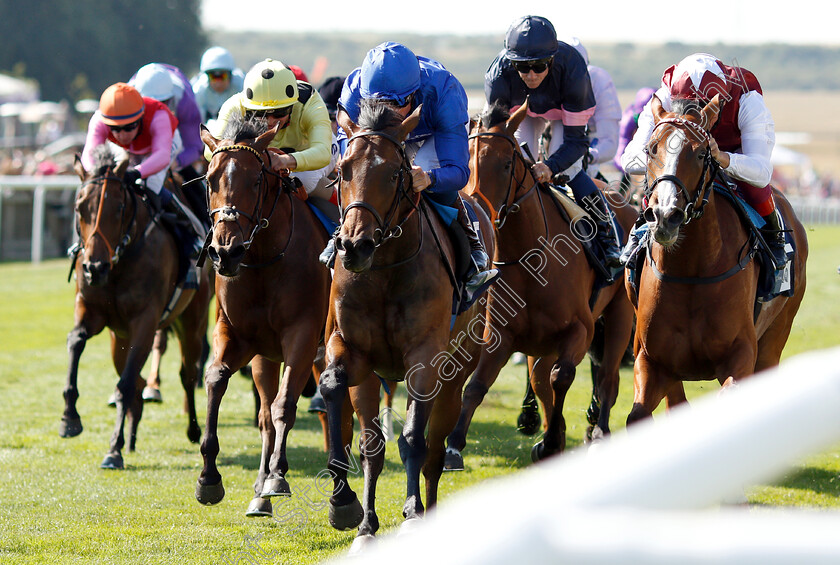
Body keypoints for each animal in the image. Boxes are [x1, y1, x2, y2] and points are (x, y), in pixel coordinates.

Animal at [62, 145, 212, 468]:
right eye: (80, 208)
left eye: (119, 208)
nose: (95, 267)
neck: (120, 261)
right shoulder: (90, 309)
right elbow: (76, 341)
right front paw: (69, 418)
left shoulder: (145, 320)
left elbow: (127, 384)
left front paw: (113, 449)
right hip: (118, 337)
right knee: (137, 377)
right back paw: (132, 433)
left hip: (192, 320)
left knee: (187, 373)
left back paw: (193, 429)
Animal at [195, 117, 330, 516]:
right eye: (210, 179)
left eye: (256, 180)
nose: (225, 251)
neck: (263, 260)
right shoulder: (238, 336)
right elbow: (216, 379)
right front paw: (209, 477)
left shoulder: (303, 336)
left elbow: (286, 403)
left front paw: (278, 476)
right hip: (264, 359)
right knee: (266, 414)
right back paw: (259, 492)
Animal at [320, 101, 492, 552]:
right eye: (343, 169)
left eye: (395, 173)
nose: (354, 245)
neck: (383, 270)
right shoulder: (352, 350)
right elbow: (335, 392)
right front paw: (348, 509)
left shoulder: (425, 357)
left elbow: (415, 438)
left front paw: (413, 515)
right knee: (374, 444)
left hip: (455, 373)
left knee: (433, 453)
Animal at [442, 103, 632, 464]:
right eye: (466, 162)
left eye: (506, 163)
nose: (477, 209)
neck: (530, 259)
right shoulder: (501, 335)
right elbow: (477, 385)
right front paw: (454, 446)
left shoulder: (581, 330)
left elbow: (562, 378)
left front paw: (554, 437)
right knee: (541, 379)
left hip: (619, 314)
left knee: (607, 377)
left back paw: (598, 431)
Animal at [628, 94, 812, 420]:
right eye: (651, 149)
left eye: (702, 153)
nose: (665, 216)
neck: (690, 272)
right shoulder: (651, 360)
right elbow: (638, 414)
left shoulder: (742, 356)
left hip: (775, 337)